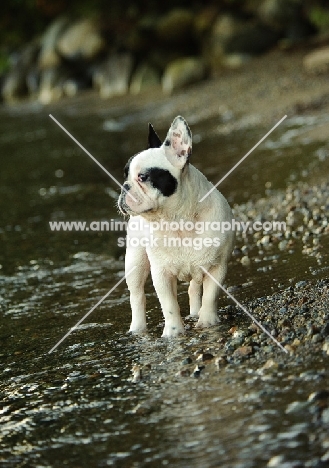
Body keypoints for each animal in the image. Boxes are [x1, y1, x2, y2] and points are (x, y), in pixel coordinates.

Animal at [117, 116, 233, 336]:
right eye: (125, 175)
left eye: (143, 177)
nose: (124, 187)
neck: (177, 221)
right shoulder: (161, 273)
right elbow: (168, 304)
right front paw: (173, 332)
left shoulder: (217, 267)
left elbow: (210, 296)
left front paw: (207, 321)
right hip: (135, 260)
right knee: (137, 296)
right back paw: (137, 329)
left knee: (194, 289)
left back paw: (196, 313)